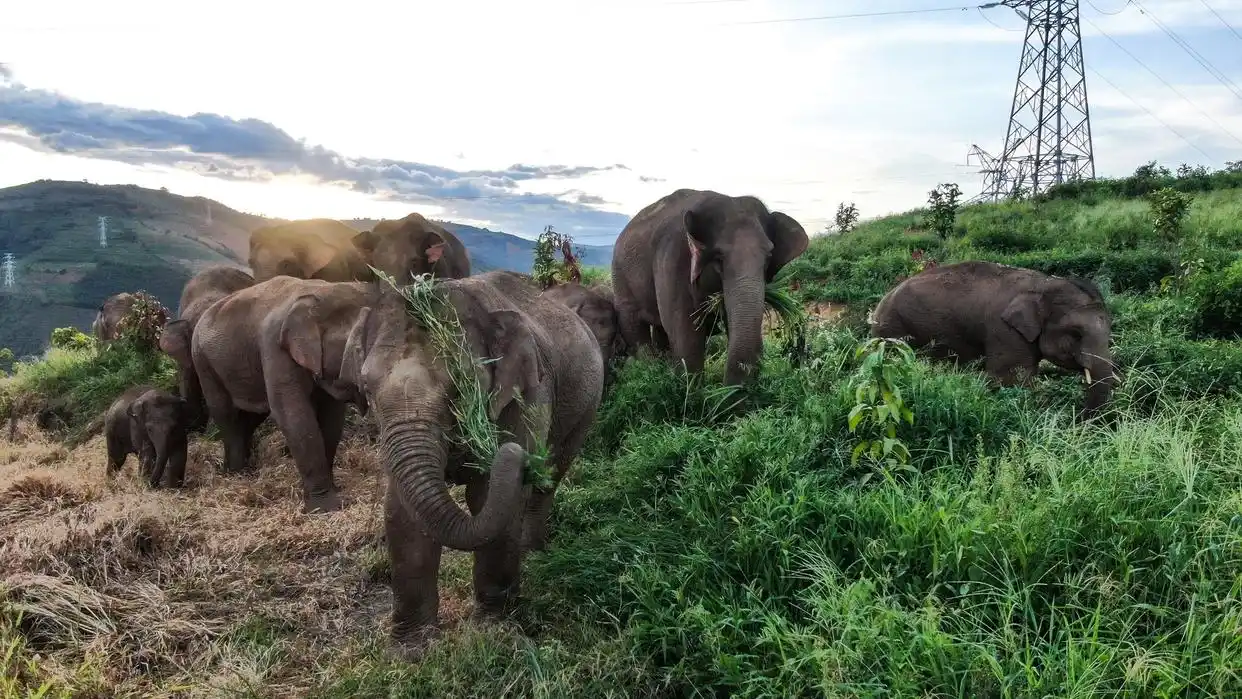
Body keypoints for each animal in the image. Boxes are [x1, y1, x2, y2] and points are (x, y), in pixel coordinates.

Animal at [189, 275, 374, 513]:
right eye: (360, 348)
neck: (323, 293)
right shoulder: (274, 345)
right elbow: (292, 414)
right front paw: (326, 507)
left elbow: (332, 417)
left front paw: (334, 492)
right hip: (203, 361)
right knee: (225, 413)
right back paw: (237, 474)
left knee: (252, 414)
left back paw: (246, 468)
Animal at [334, 270, 603, 654]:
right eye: (367, 390)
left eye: (458, 388)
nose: (519, 456)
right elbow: (402, 511)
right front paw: (411, 650)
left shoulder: (526, 395)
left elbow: (490, 496)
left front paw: (493, 631)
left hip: (586, 408)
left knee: (548, 482)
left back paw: (531, 553)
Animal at [610, 189, 809, 385]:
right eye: (719, 258)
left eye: (768, 258)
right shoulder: (671, 259)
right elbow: (685, 334)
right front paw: (692, 393)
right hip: (620, 279)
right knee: (636, 330)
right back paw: (651, 373)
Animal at [869, 260, 1118, 418]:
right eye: (1076, 333)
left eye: (1109, 329)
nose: (1077, 420)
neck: (1043, 284)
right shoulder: (1005, 331)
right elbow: (1010, 379)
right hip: (891, 332)